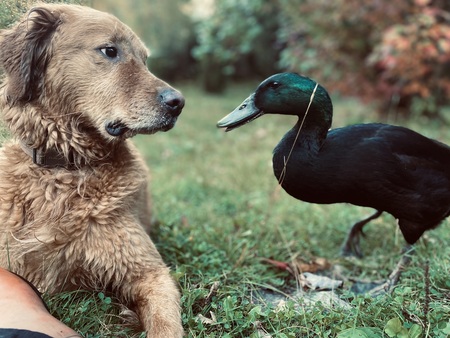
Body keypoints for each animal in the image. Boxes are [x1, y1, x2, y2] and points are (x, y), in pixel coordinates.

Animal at [0, 3, 185, 338]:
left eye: (145, 60)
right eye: (109, 50)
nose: (179, 102)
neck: (68, 168)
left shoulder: (151, 272)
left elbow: (166, 326)